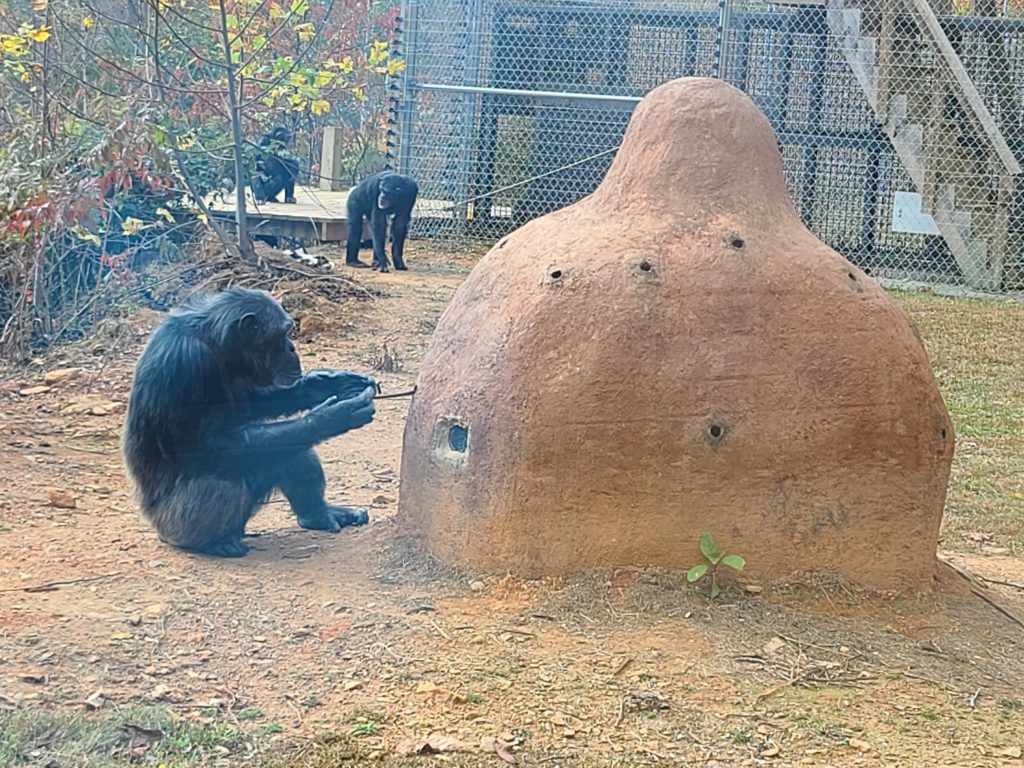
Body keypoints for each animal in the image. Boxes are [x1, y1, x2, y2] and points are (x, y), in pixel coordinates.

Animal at [120, 288, 376, 561]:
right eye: (282, 334)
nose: (292, 348)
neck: (217, 345)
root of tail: (159, 531)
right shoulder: (184, 362)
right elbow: (202, 446)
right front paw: (329, 418)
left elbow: (256, 403)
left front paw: (331, 383)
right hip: (174, 525)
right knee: (221, 479)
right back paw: (213, 543)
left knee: (291, 448)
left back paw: (318, 514)